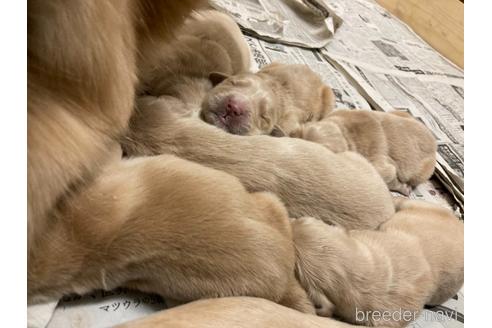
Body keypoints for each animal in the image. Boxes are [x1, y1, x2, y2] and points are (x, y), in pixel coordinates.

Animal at [290, 111, 436, 195]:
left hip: (421, 172)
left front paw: (404, 188)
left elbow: (392, 180)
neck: (345, 133)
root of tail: (434, 143)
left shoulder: (383, 170)